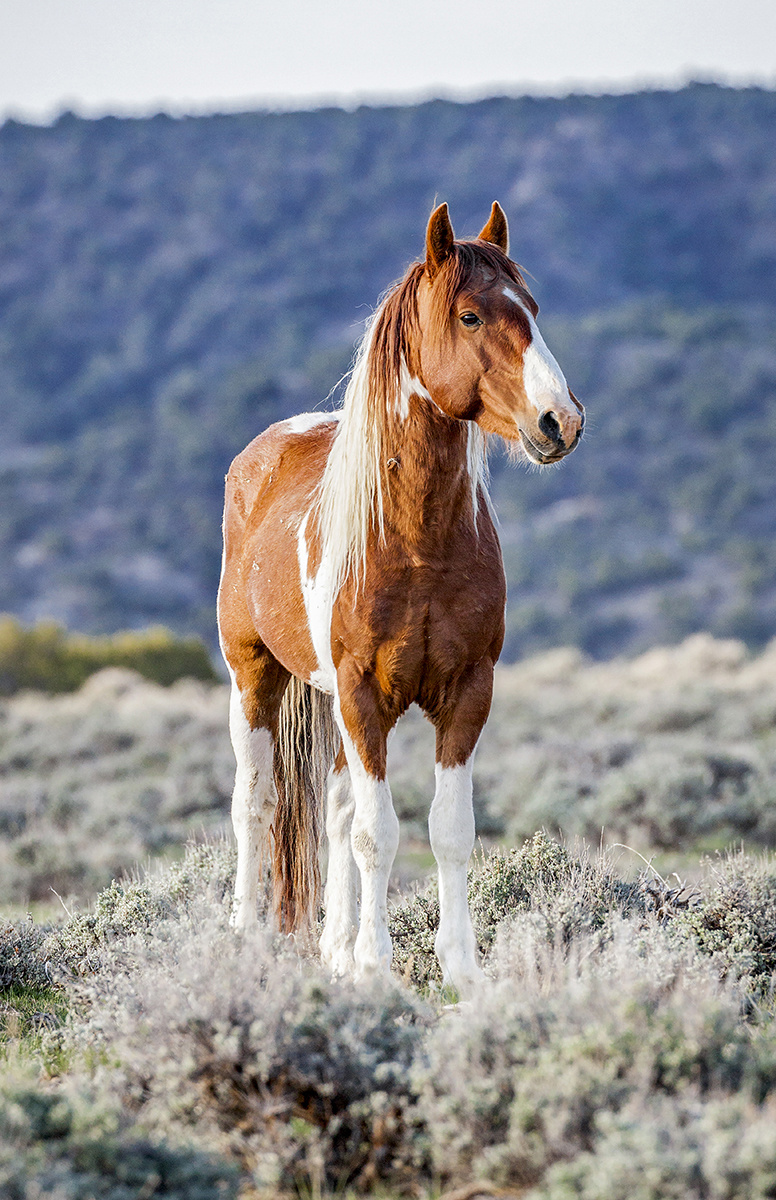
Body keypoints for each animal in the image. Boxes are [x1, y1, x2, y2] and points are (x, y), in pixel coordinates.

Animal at [217, 201, 582, 998]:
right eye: (471, 315)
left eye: (533, 310)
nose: (560, 422)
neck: (414, 542)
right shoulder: (362, 694)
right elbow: (375, 833)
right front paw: (377, 967)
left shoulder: (466, 691)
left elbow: (446, 830)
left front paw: (459, 971)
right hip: (255, 677)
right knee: (256, 803)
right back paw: (245, 939)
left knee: (331, 808)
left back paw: (333, 949)